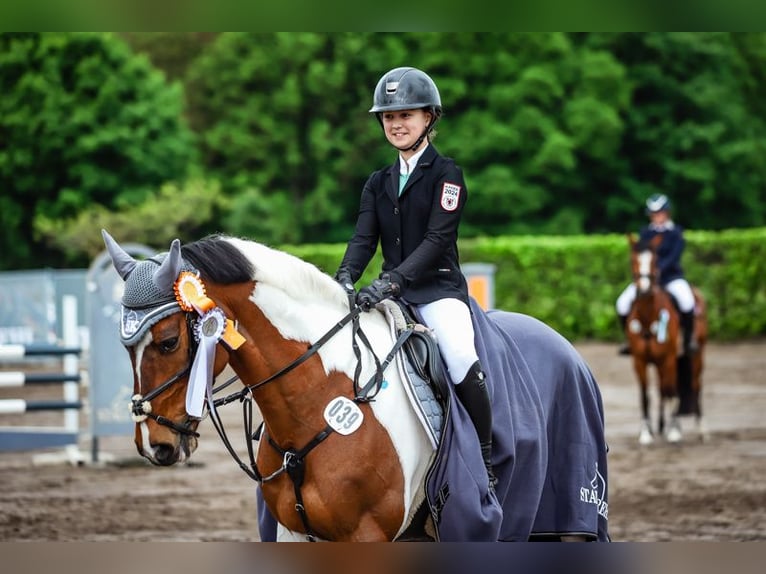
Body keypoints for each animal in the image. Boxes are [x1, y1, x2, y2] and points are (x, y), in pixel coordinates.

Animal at [100, 231, 612, 544]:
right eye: (125, 348)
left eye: (169, 341)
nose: (154, 444)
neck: (319, 400)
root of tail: (565, 346)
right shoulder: (295, 533)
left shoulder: (367, 536)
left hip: (569, 518)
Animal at [628, 234, 712, 446]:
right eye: (633, 260)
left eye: (654, 261)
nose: (643, 290)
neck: (648, 318)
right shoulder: (639, 360)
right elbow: (645, 396)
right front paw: (646, 432)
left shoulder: (669, 358)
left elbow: (672, 390)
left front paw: (674, 430)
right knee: (662, 390)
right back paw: (659, 426)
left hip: (696, 355)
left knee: (694, 387)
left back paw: (701, 430)